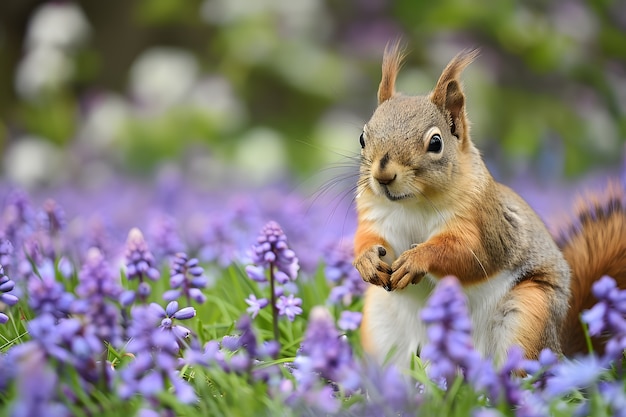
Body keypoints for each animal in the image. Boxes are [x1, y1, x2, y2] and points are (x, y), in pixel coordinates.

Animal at [352, 43, 624, 368]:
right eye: (362, 137)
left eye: (435, 143)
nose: (383, 176)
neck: (413, 204)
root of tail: (561, 351)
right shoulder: (375, 217)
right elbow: (366, 239)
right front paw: (366, 260)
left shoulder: (485, 223)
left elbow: (466, 253)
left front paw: (417, 259)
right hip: (379, 324)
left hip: (529, 313)